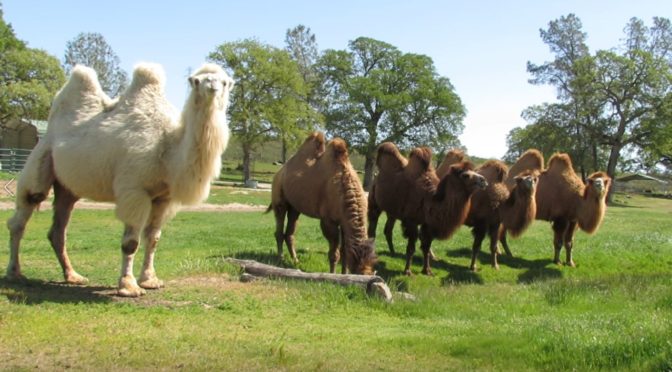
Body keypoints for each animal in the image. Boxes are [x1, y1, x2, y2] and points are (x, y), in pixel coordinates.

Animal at [5, 63, 234, 296]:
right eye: (197, 81)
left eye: (225, 82)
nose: (212, 88)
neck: (168, 149)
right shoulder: (134, 191)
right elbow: (131, 243)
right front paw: (128, 286)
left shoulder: (163, 198)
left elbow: (153, 239)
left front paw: (150, 280)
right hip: (41, 158)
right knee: (23, 213)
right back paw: (15, 273)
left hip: (67, 187)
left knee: (58, 228)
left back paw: (73, 276)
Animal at [270, 132, 378, 274]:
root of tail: (279, 172)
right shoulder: (328, 221)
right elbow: (334, 254)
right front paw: (332, 274)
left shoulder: (344, 222)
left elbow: (345, 252)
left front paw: (344, 274)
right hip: (279, 201)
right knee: (279, 229)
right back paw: (280, 259)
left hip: (294, 208)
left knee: (290, 233)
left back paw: (296, 261)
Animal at [370, 142, 486, 276]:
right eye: (465, 175)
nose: (483, 181)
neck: (431, 200)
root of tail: (376, 176)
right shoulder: (411, 221)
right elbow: (411, 248)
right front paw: (408, 271)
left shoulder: (428, 225)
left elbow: (426, 247)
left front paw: (427, 270)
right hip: (374, 203)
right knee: (372, 228)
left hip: (392, 211)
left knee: (388, 229)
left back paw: (392, 252)